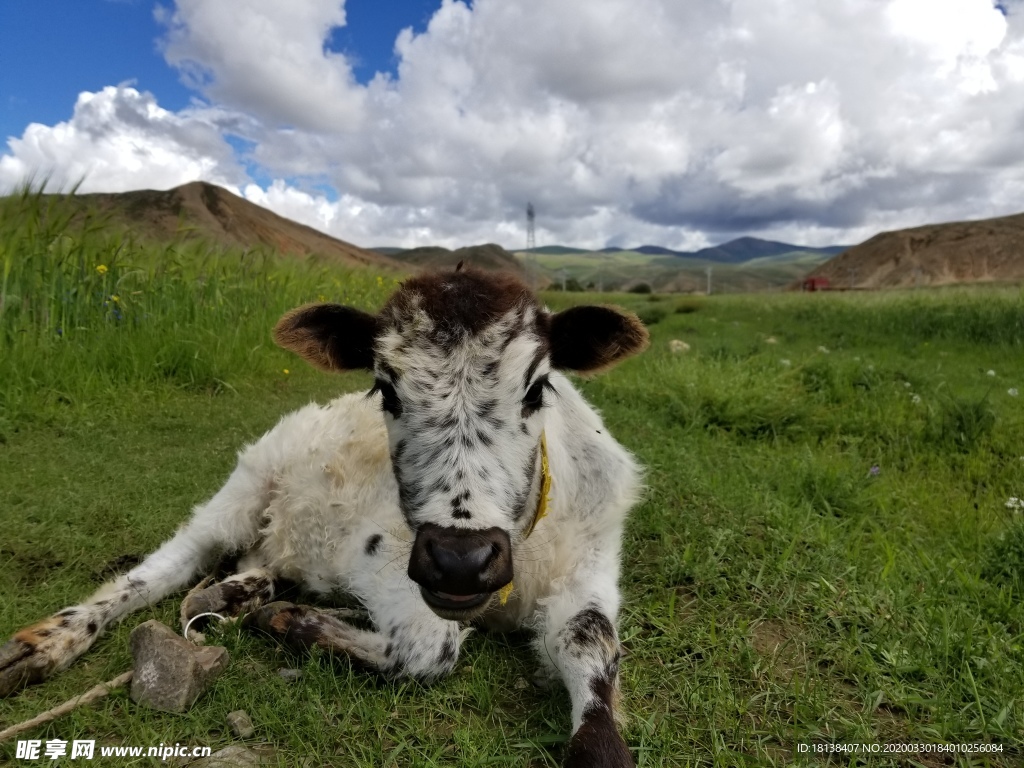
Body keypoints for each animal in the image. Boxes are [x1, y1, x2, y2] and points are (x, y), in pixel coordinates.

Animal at [0, 266, 647, 768]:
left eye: (536, 390)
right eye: (386, 390)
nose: (460, 562)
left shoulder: (590, 566)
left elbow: (591, 638)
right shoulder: (382, 554)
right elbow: (429, 648)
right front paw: (293, 623)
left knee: (255, 561)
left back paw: (231, 597)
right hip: (246, 484)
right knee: (167, 565)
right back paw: (46, 645)